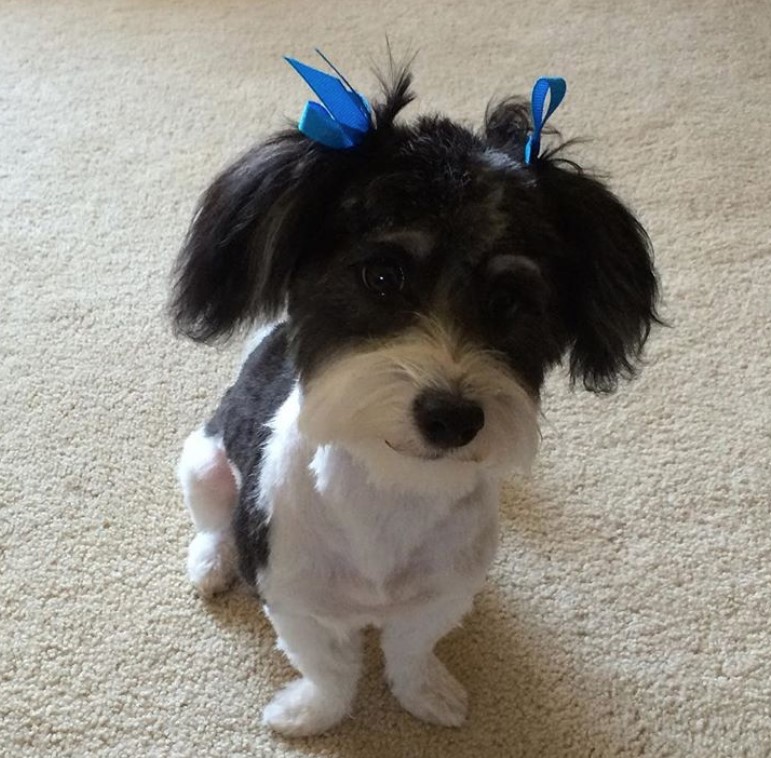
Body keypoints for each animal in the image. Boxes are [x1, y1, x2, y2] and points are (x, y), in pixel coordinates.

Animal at [172, 60, 660, 744]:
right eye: (382, 276)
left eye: (508, 301)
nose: (452, 417)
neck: (392, 493)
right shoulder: (294, 598)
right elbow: (329, 669)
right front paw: (308, 713)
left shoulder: (442, 596)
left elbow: (411, 651)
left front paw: (426, 695)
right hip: (204, 462)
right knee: (213, 518)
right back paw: (214, 562)